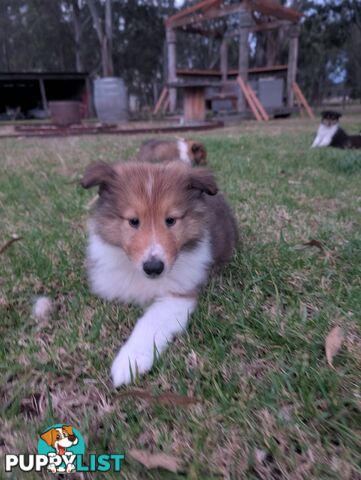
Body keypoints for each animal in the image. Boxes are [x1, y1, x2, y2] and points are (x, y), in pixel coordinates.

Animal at [82, 161, 238, 386]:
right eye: (133, 221)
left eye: (171, 220)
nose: (154, 267)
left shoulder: (178, 295)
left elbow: (151, 322)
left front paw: (130, 361)